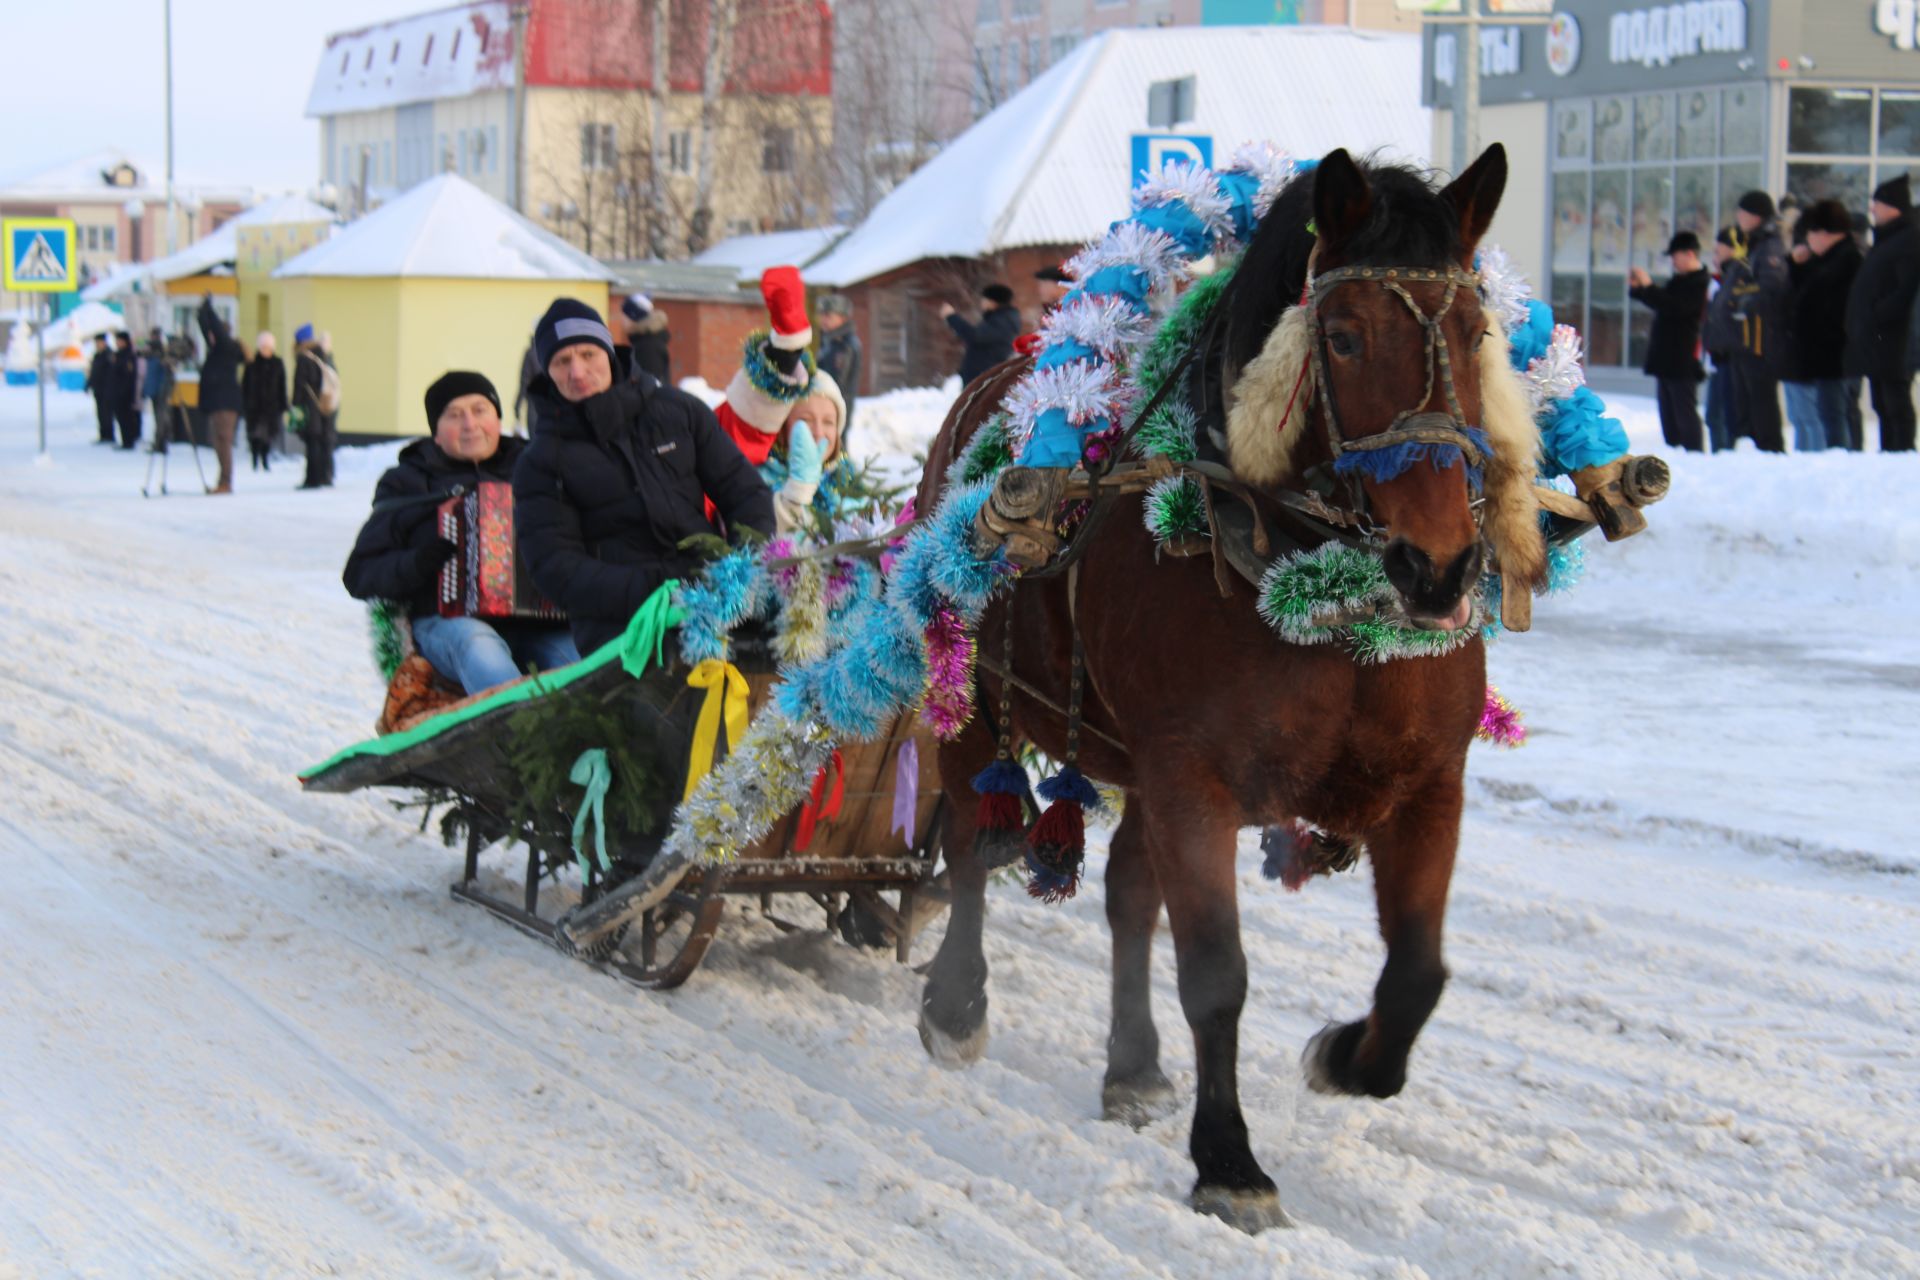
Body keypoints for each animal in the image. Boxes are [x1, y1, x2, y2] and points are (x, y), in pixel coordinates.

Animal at [906, 144, 1536, 1235]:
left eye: (1476, 331)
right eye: (1342, 334)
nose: (1439, 570)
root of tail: (998, 381)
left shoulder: (1429, 783)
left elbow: (1418, 970)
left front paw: (1345, 1053)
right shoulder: (1191, 779)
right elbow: (1216, 974)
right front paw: (1230, 1159)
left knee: (1125, 892)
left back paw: (1133, 1064)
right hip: (976, 694)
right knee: (975, 845)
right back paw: (957, 1002)